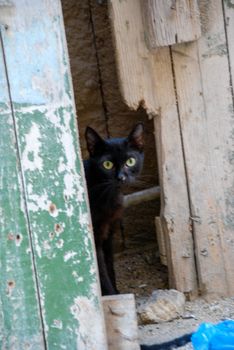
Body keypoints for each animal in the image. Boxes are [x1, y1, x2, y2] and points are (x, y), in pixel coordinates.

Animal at [83, 123, 144, 296]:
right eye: (107, 164)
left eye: (130, 161)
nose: (121, 177)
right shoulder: (95, 238)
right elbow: (101, 272)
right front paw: (111, 294)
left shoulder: (109, 232)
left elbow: (109, 265)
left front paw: (117, 292)